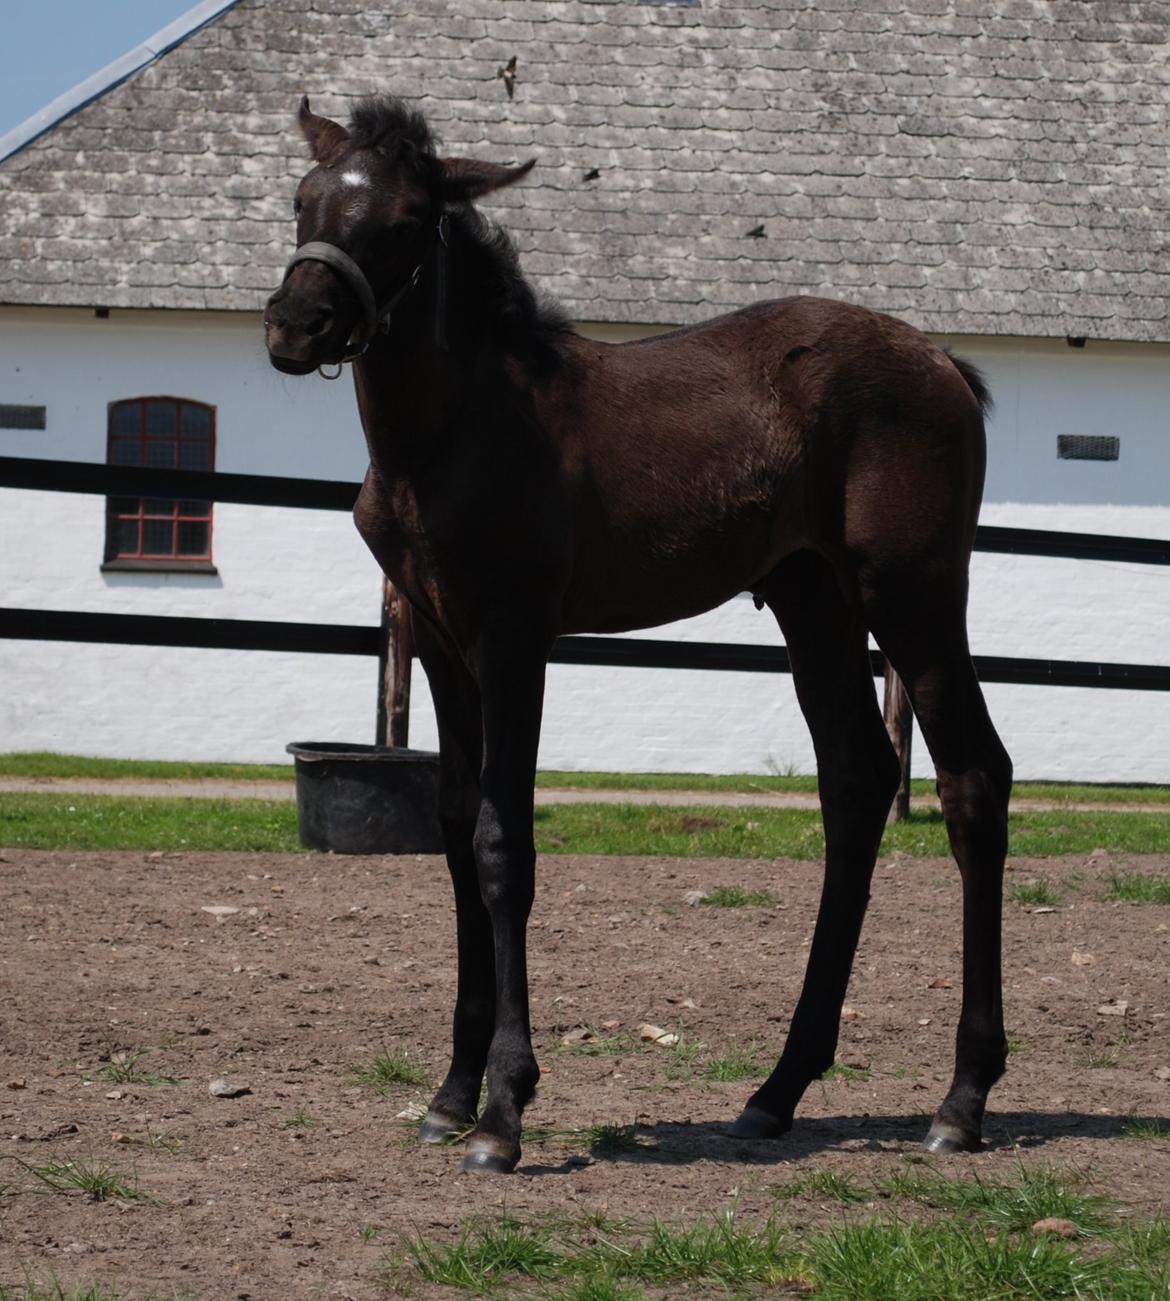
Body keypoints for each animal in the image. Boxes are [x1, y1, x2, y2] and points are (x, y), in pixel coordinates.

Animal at [260, 96, 1009, 1176]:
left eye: (403, 221)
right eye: (303, 197)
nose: (296, 323)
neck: (454, 430)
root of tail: (943, 360)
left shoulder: (514, 638)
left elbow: (502, 840)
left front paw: (503, 1110)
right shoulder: (440, 642)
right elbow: (451, 826)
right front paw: (450, 1093)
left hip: (911, 594)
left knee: (971, 781)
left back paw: (962, 1098)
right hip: (811, 598)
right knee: (857, 781)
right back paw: (776, 1090)